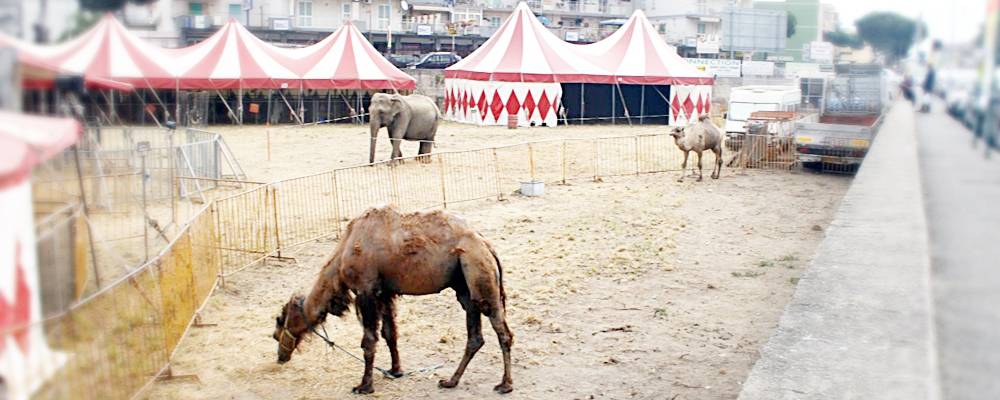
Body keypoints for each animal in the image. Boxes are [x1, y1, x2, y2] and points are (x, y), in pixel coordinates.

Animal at [272, 205, 512, 396]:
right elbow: (390, 333)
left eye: (279, 322)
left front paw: (364, 386)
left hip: (478, 269)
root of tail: (485, 243)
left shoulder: (366, 290)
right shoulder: (385, 292)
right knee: (475, 335)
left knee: (502, 330)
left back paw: (505, 385)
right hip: (463, 285)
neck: (343, 253)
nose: (280, 356)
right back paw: (450, 381)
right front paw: (395, 371)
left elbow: (369, 340)